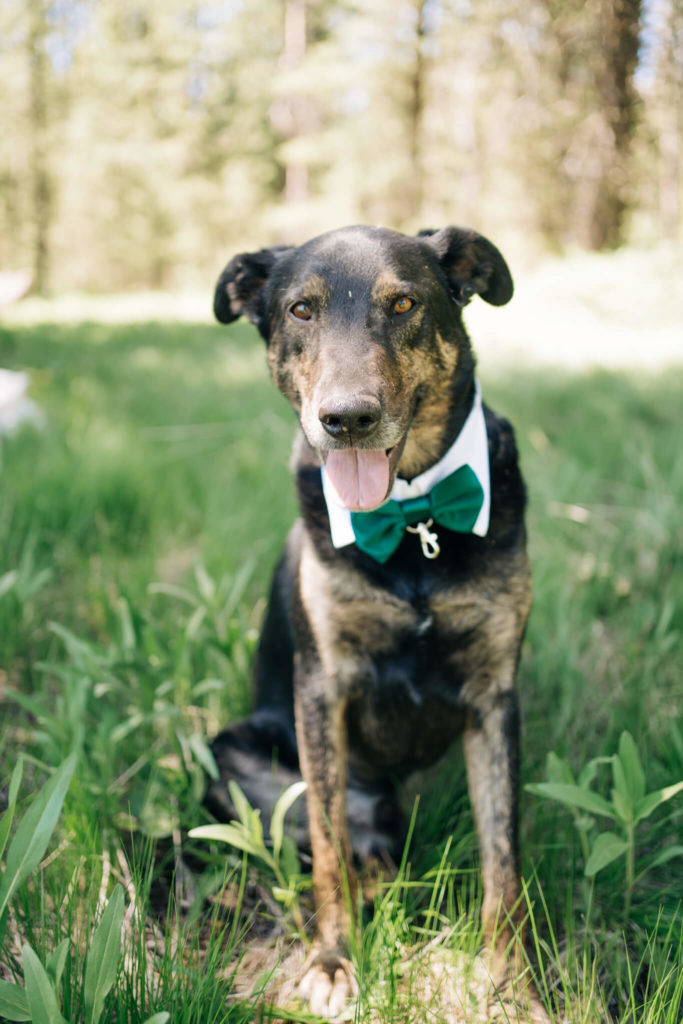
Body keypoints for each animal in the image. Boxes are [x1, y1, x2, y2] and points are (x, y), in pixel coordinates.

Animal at [206, 228, 540, 1019]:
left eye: (404, 304)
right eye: (300, 309)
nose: (348, 418)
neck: (413, 518)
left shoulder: (494, 698)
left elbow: (502, 856)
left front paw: (508, 980)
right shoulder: (321, 690)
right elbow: (328, 849)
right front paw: (332, 960)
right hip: (240, 759)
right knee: (337, 845)